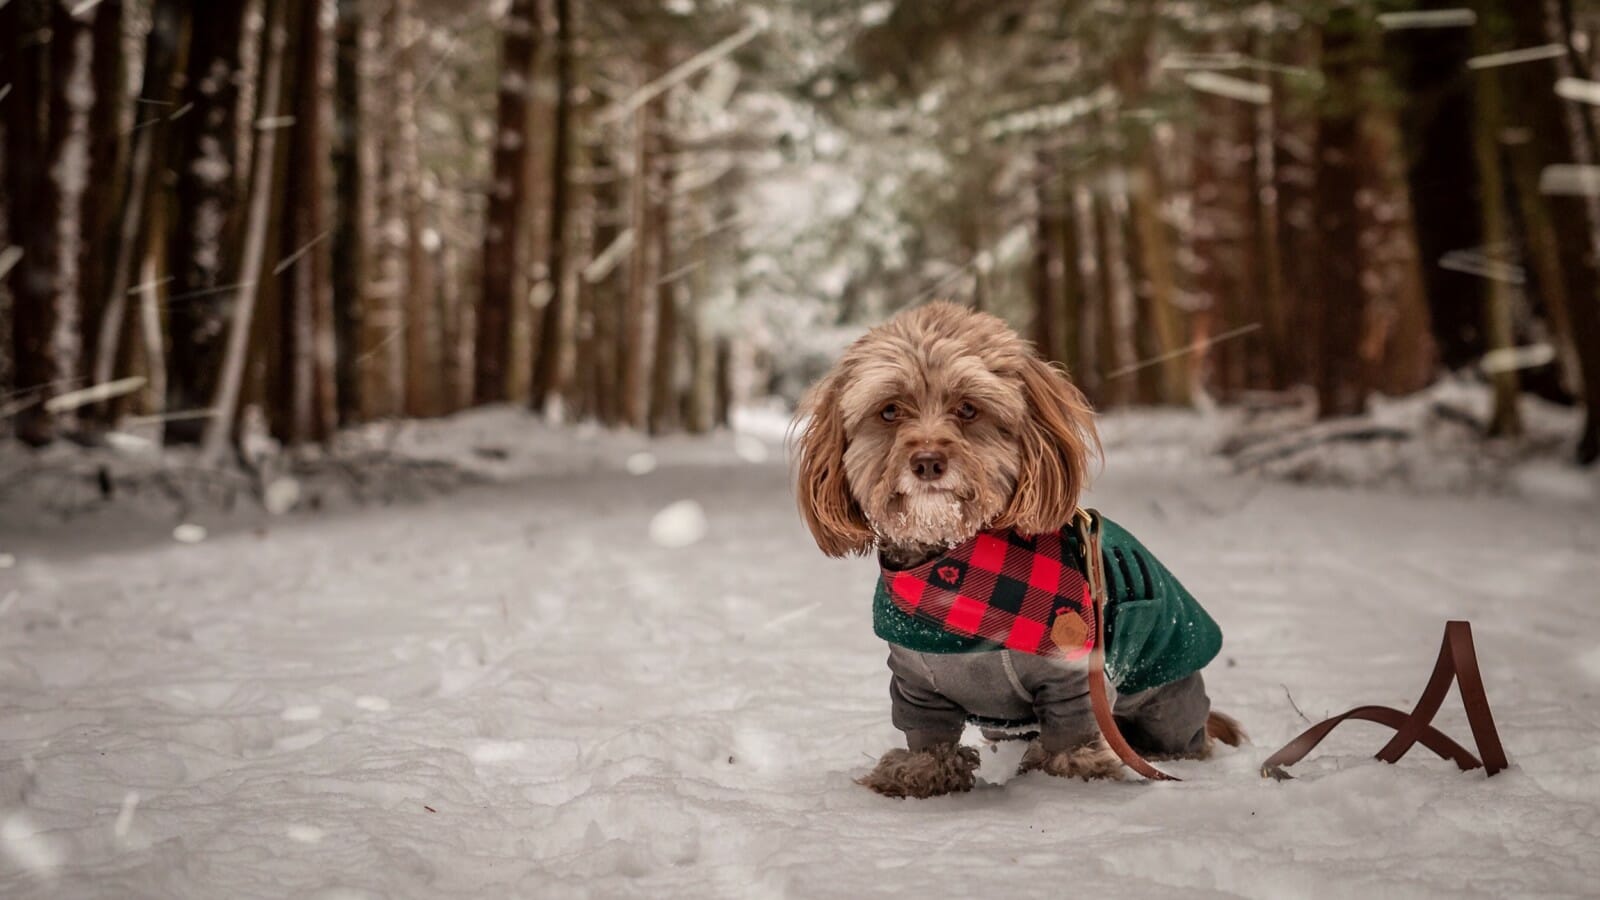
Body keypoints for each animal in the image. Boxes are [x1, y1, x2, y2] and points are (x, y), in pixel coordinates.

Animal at [793, 302, 1241, 797]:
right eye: (889, 411)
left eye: (968, 408)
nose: (927, 461)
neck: (956, 576)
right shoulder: (914, 683)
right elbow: (926, 732)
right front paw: (921, 771)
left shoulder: (1071, 676)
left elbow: (1072, 731)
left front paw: (1075, 771)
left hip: (1167, 706)